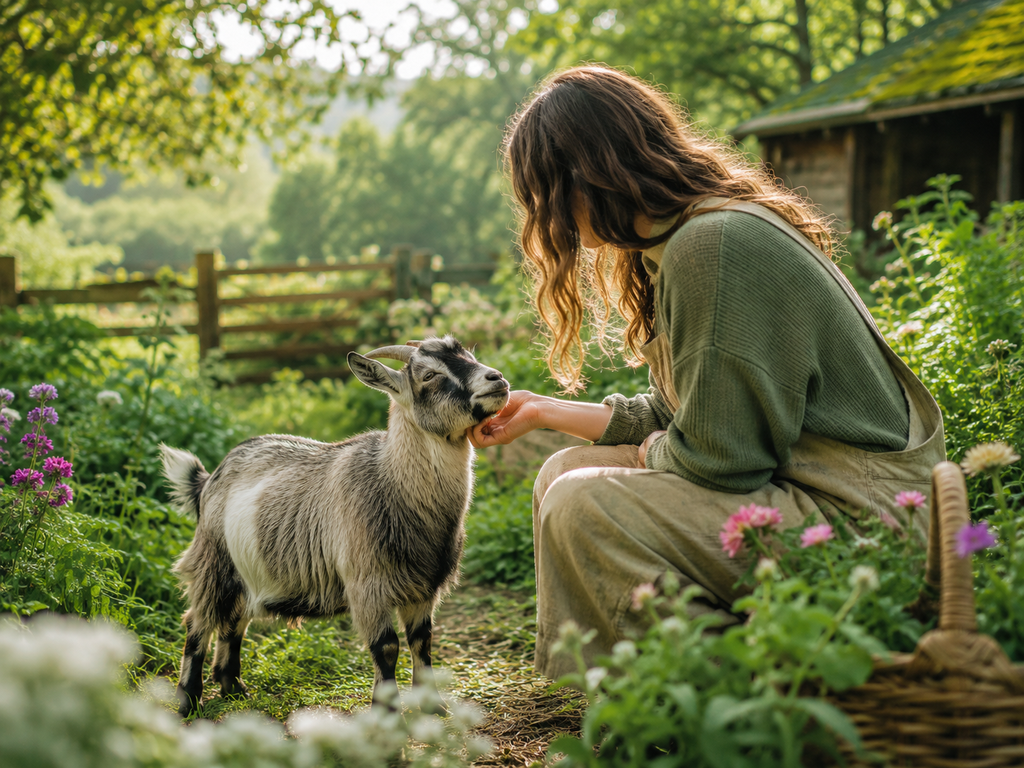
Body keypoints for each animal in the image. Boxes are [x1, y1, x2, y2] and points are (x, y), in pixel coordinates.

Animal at [160, 337, 509, 717]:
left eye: (469, 356)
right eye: (429, 375)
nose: (496, 379)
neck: (389, 481)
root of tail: (208, 480)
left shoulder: (424, 587)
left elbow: (422, 641)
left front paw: (433, 707)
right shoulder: (367, 584)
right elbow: (387, 647)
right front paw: (386, 714)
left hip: (246, 570)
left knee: (234, 619)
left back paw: (232, 686)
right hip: (212, 560)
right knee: (198, 622)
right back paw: (188, 700)